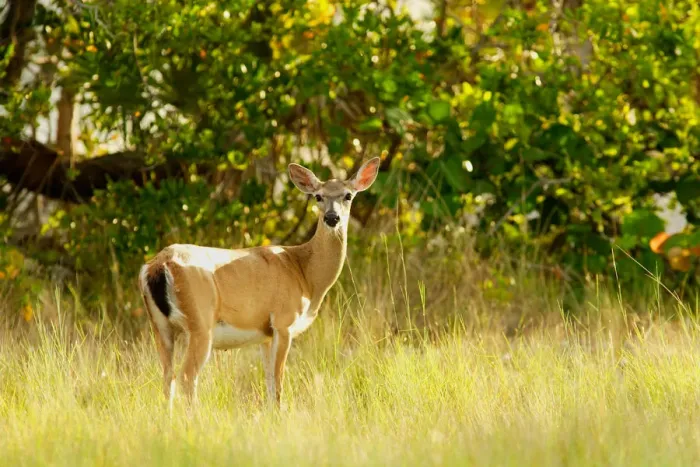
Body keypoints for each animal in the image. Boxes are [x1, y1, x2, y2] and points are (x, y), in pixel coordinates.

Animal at [138, 157, 380, 410]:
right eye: (318, 196)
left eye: (348, 195)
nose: (332, 218)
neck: (305, 272)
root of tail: (158, 265)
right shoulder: (283, 321)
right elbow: (279, 383)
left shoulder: (266, 335)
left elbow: (269, 382)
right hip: (200, 322)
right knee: (187, 376)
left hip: (161, 326)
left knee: (168, 378)